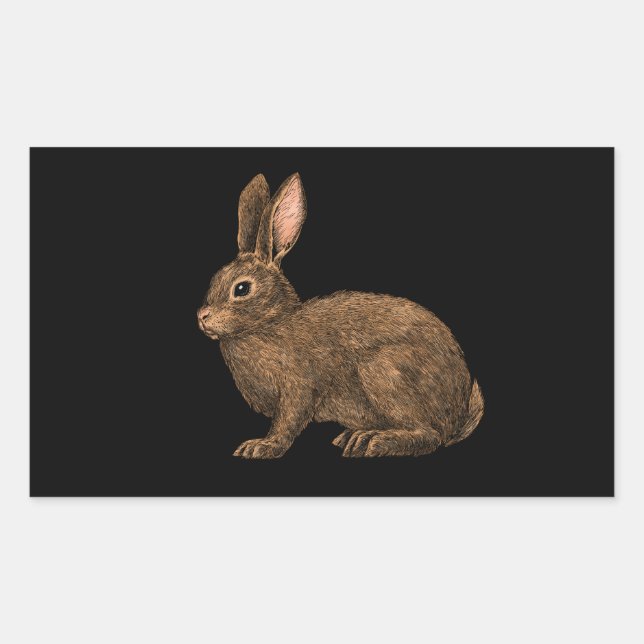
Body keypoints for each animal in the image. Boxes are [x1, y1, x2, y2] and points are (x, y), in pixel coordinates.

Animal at [197, 173, 483, 458]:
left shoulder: (298, 387)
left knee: (429, 435)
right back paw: (352, 436)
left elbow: (288, 422)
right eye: (214, 279)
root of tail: (458, 415)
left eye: (241, 289)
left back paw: (372, 441)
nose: (202, 316)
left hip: (383, 371)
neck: (269, 322)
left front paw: (262, 446)